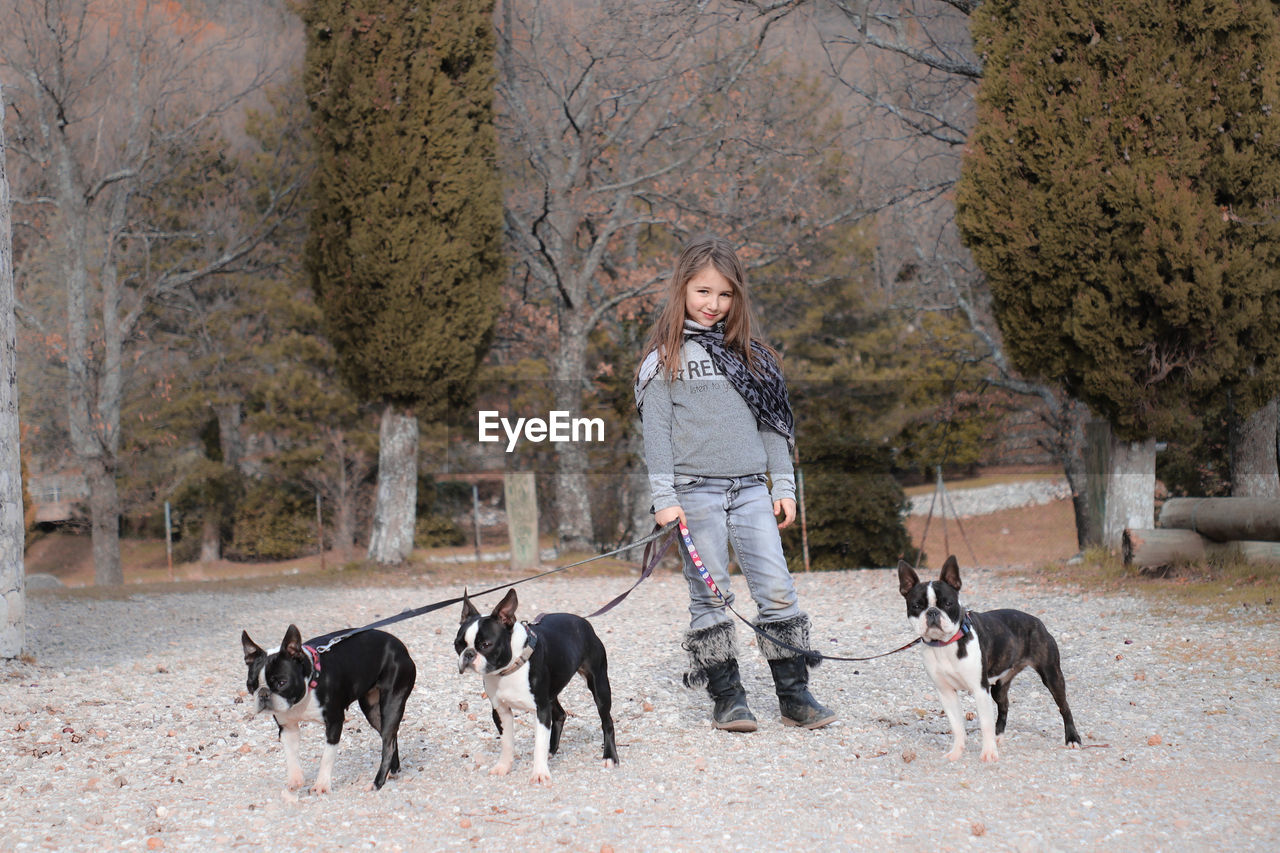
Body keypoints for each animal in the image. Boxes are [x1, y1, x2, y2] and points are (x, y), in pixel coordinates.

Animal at [240, 617, 414, 788]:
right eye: (251, 685)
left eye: (282, 683)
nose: (263, 694)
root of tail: (401, 647)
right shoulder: (288, 728)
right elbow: (291, 756)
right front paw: (295, 781)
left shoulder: (334, 723)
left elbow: (326, 758)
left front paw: (321, 785)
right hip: (372, 710)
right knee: (391, 737)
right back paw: (393, 769)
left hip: (392, 703)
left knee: (388, 742)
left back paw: (378, 781)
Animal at [455, 589, 619, 778]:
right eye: (458, 645)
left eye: (486, 644)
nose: (468, 654)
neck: (509, 670)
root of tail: (584, 622)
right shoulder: (501, 710)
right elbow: (507, 742)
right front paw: (503, 766)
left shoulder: (541, 710)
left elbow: (539, 744)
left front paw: (540, 773)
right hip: (551, 694)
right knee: (560, 714)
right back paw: (552, 749)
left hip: (599, 685)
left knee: (607, 721)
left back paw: (609, 757)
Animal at [901, 555, 1080, 758]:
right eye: (916, 606)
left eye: (948, 603)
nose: (932, 612)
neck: (945, 644)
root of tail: (1038, 621)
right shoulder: (946, 692)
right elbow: (957, 726)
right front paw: (956, 752)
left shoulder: (980, 689)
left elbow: (985, 723)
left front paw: (988, 754)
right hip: (999, 686)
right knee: (1004, 706)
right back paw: (998, 736)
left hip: (1052, 675)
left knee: (1064, 706)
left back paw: (1072, 738)